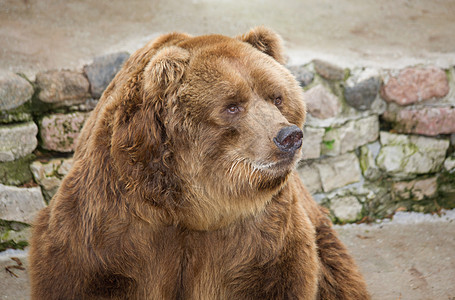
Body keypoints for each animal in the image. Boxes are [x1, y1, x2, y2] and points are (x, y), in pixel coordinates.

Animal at [28, 27, 370, 298]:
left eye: (277, 97)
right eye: (232, 105)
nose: (289, 136)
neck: (192, 206)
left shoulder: (259, 232)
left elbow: (274, 277)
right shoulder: (115, 218)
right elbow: (85, 274)